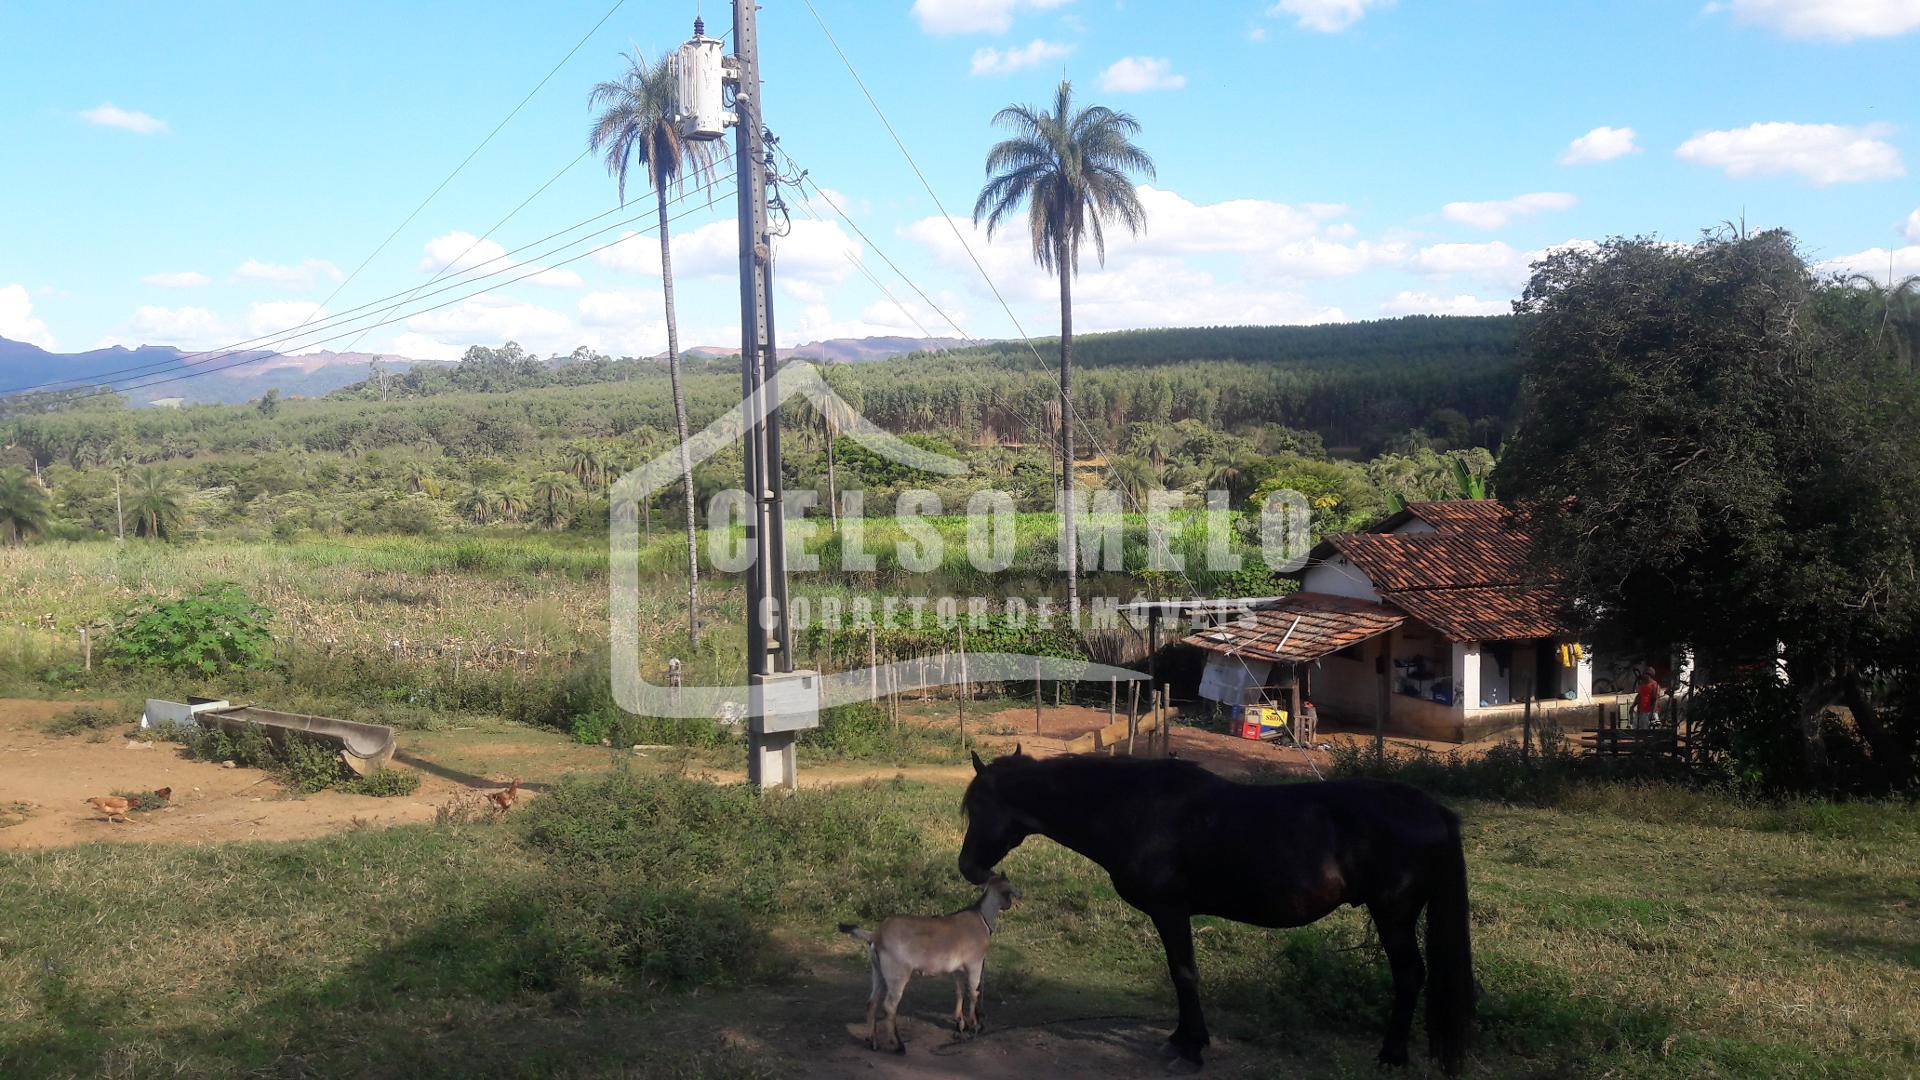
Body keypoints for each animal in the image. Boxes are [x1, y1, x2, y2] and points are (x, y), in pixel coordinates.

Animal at [960, 745, 1466, 1068]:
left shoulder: (1170, 910)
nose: (967, 867)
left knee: (1409, 977)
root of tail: (1435, 810)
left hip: (1394, 916)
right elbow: (1181, 973)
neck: (1135, 808)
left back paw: (1391, 1056)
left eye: (978, 809)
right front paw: (1184, 1039)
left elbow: (1184, 973)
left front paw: (1190, 1047)